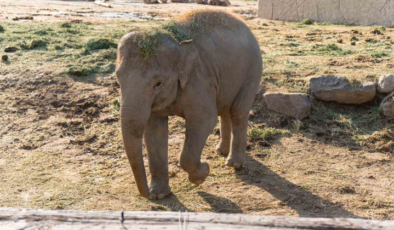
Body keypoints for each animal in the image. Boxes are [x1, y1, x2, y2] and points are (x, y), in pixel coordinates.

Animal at [115, 9, 264, 199]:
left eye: (158, 83)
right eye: (118, 78)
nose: (147, 195)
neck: (177, 42)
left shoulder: (198, 81)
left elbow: (204, 121)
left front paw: (202, 174)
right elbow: (154, 130)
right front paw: (160, 195)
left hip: (252, 71)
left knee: (237, 112)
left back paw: (233, 164)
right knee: (224, 111)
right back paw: (220, 152)